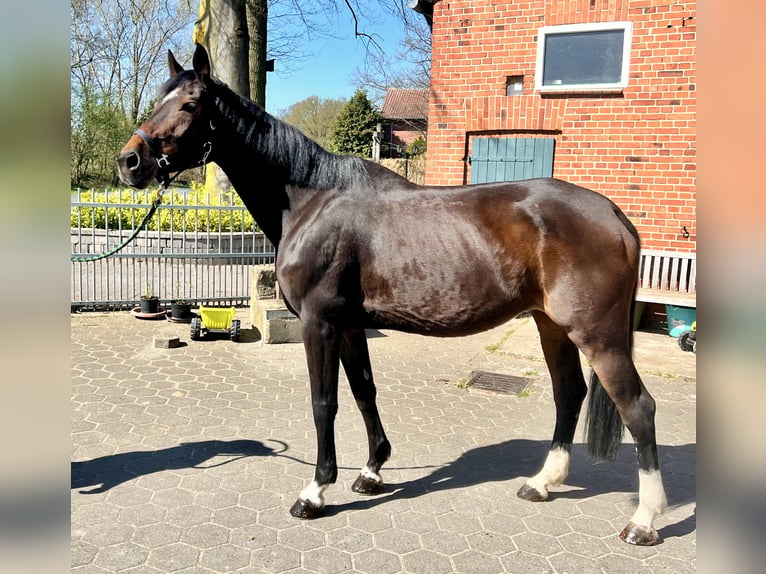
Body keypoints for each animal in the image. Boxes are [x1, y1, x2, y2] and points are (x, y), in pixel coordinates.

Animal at [117, 44, 667, 546]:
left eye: (190, 104)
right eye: (160, 98)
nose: (130, 161)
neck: (311, 199)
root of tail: (614, 214)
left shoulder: (320, 323)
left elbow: (324, 402)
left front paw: (315, 491)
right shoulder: (351, 324)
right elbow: (364, 390)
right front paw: (371, 471)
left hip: (596, 333)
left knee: (638, 407)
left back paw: (644, 521)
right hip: (551, 325)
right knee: (568, 393)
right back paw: (542, 483)